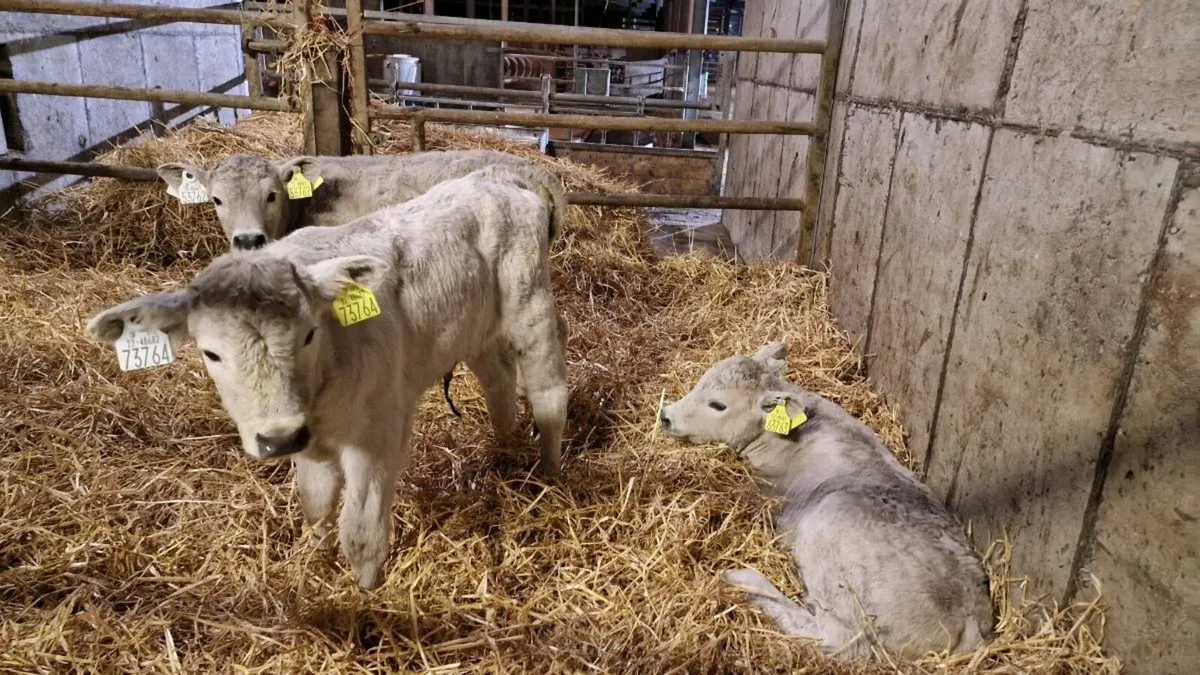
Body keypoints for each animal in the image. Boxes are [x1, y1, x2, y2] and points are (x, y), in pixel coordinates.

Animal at [87, 168, 570, 590]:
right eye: (211, 352)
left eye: (309, 334)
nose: (278, 438)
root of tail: (501, 179)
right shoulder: (308, 441)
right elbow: (315, 506)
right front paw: (317, 562)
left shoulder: (378, 434)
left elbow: (360, 531)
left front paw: (366, 594)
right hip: (475, 328)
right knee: (498, 381)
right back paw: (502, 450)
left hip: (531, 306)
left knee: (548, 393)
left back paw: (549, 471)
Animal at [658, 342, 993, 660]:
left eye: (718, 405)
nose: (666, 416)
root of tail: (971, 616)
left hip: (831, 529)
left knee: (836, 639)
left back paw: (743, 579)